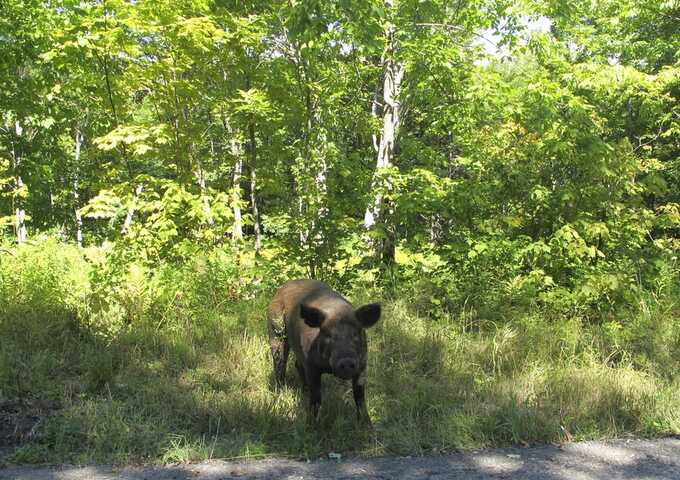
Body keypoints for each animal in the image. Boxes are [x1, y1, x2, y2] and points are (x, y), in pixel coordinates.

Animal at [266, 278, 382, 424]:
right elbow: (316, 398)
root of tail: (280, 289)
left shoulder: (362, 364)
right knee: (280, 364)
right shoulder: (311, 366)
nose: (346, 361)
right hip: (275, 330)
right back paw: (279, 394)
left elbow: (360, 397)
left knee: (297, 365)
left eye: (355, 333)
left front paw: (367, 424)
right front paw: (312, 425)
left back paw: (304, 391)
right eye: (328, 335)